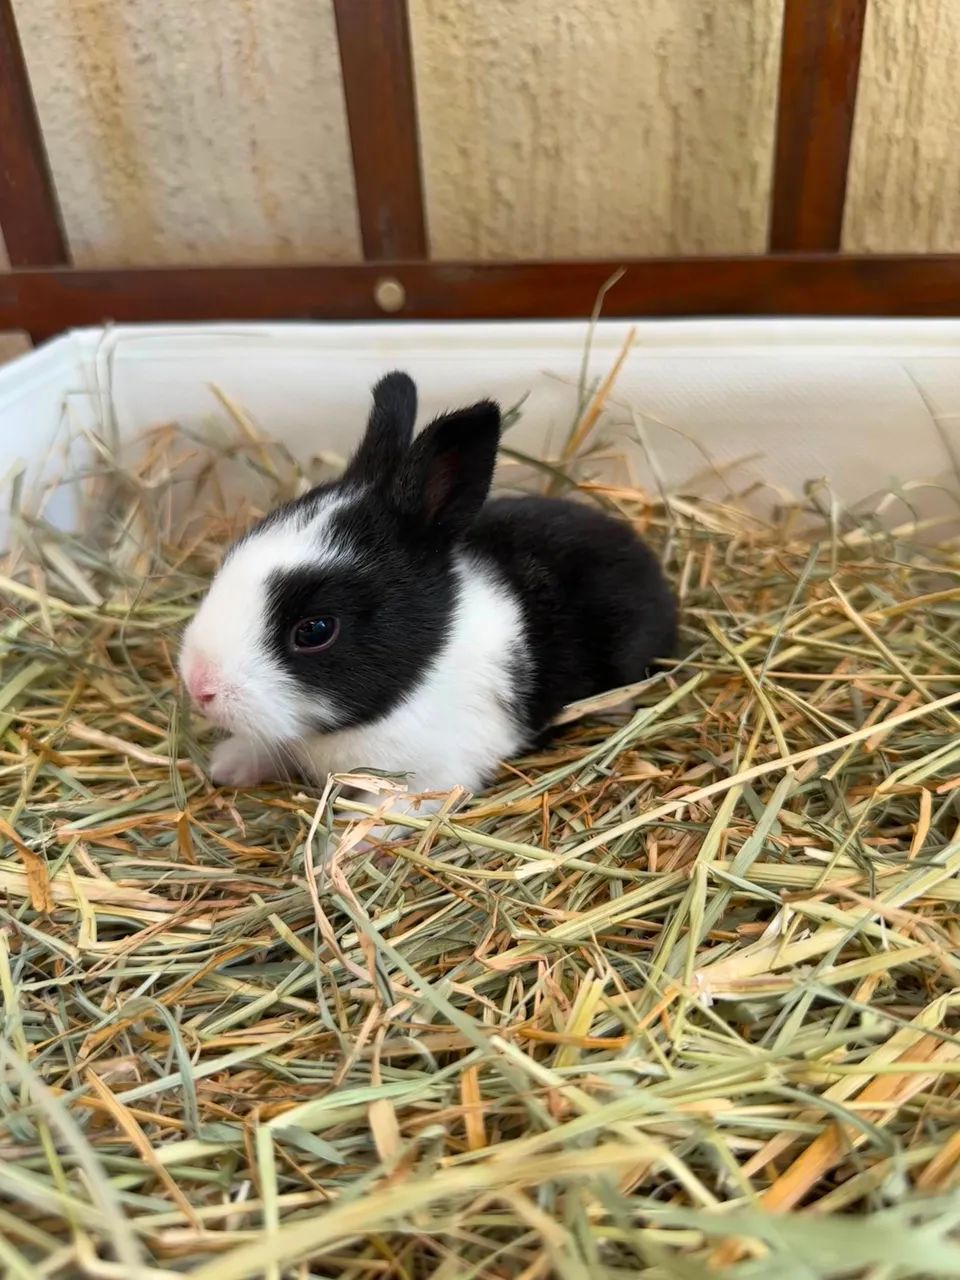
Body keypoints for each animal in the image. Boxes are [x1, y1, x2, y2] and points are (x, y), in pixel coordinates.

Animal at [179, 371, 677, 810]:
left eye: (315, 630)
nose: (198, 686)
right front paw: (228, 764)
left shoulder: (435, 778)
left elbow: (385, 813)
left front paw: (342, 851)